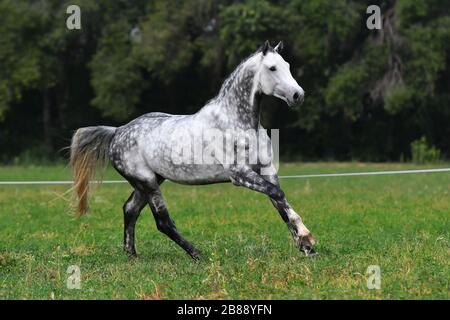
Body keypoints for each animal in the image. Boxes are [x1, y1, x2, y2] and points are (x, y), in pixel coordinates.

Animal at [71, 40, 316, 260]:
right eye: (272, 68)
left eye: (288, 65)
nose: (298, 95)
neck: (238, 121)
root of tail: (118, 131)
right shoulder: (239, 174)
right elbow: (277, 195)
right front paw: (306, 238)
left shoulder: (266, 169)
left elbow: (280, 203)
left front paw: (306, 247)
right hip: (146, 182)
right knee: (162, 221)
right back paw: (196, 254)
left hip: (150, 181)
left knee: (130, 209)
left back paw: (131, 254)